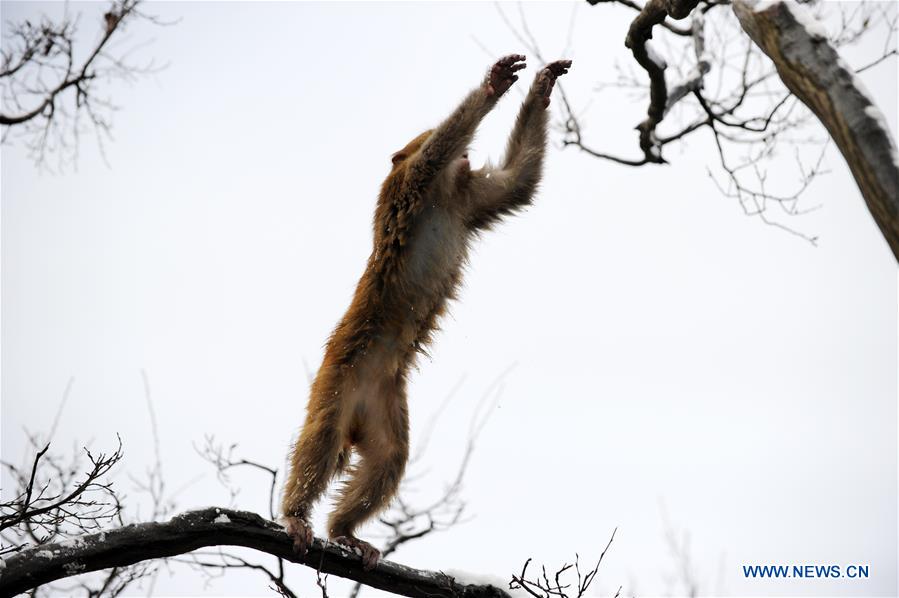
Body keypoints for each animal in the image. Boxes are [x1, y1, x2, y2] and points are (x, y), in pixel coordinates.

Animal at [281, 54, 572, 570]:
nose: (467, 160)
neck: (445, 193)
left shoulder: (468, 200)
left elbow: (516, 183)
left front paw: (540, 88)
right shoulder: (410, 183)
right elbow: (437, 151)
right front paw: (492, 87)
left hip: (383, 402)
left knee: (389, 458)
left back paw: (343, 529)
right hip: (337, 380)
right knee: (323, 439)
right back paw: (297, 514)